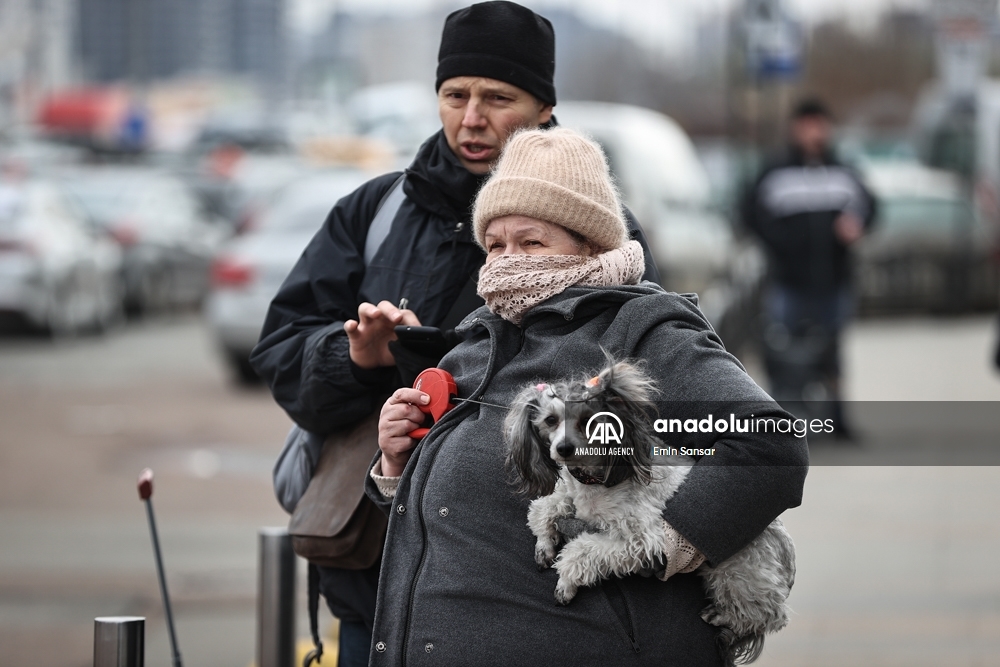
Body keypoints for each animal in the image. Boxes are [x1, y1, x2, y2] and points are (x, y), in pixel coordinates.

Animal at [508, 362, 796, 664]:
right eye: (551, 420)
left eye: (589, 420)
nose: (563, 448)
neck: (597, 478)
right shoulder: (570, 496)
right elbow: (544, 507)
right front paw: (545, 543)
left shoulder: (642, 539)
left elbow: (582, 550)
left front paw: (566, 581)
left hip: (737, 573)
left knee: (771, 615)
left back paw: (725, 617)